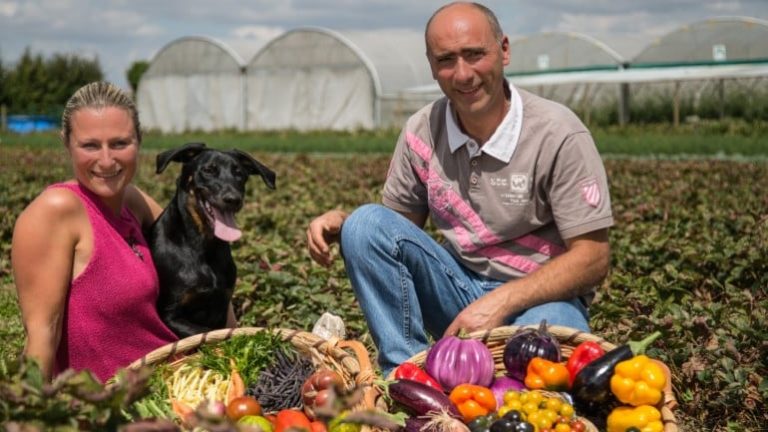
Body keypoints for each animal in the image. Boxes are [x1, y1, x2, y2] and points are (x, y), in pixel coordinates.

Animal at [147, 142, 276, 338]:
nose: (233, 199)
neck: (203, 245)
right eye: (208, 170)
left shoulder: (221, 306)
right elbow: (204, 333)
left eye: (239, 173)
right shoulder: (170, 314)